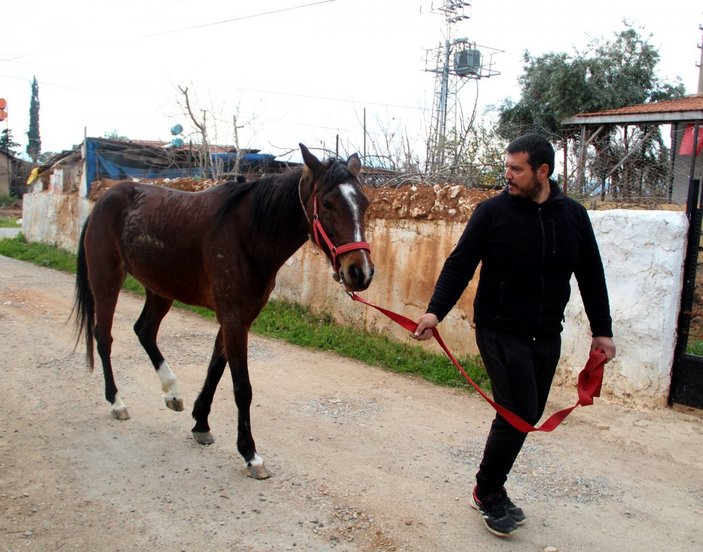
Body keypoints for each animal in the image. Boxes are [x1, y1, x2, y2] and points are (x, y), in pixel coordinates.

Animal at [73, 143, 374, 478]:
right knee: (104, 338)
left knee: (144, 331)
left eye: (364, 203)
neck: (246, 234)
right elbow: (242, 387)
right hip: (106, 281)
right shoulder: (233, 318)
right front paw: (250, 453)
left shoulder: (238, 317)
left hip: (159, 289)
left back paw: (172, 392)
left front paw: (200, 423)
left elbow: (215, 369)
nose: (360, 272)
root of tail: (103, 201)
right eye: (328, 203)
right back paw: (116, 402)